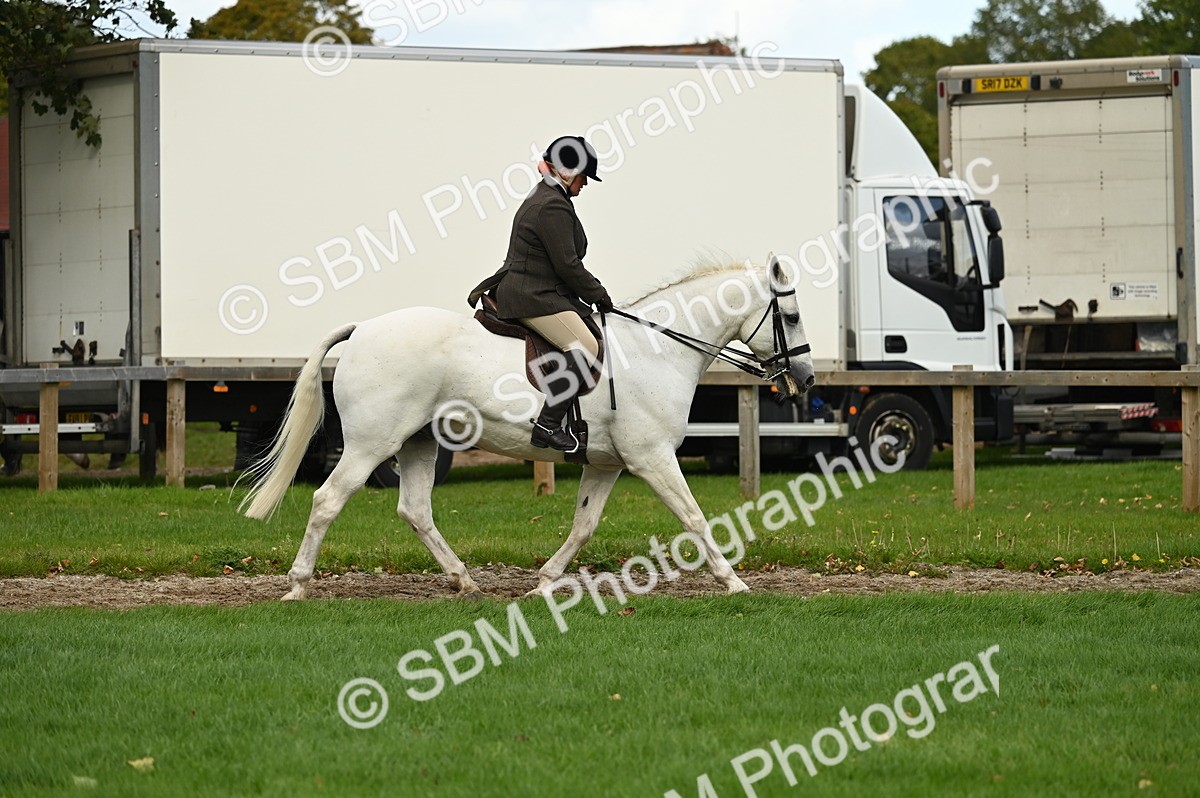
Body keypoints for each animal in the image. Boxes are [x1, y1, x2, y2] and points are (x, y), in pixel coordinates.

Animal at [240, 257, 816, 600]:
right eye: (789, 316)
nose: (807, 378)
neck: (658, 349)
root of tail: (362, 329)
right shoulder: (652, 457)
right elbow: (695, 518)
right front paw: (734, 581)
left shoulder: (607, 464)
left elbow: (584, 525)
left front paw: (544, 582)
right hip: (369, 443)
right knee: (328, 500)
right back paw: (298, 586)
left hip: (419, 441)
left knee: (415, 510)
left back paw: (465, 580)